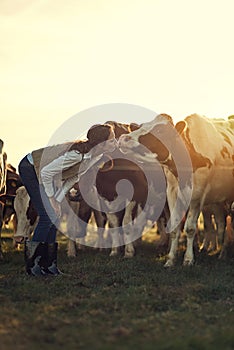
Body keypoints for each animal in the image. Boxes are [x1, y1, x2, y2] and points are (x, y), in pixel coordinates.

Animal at [119, 114, 234, 266]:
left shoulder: (197, 195)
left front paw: (188, 259)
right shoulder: (172, 192)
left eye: (161, 131)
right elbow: (174, 226)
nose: (123, 138)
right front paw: (171, 259)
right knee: (221, 224)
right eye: (142, 126)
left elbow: (190, 228)